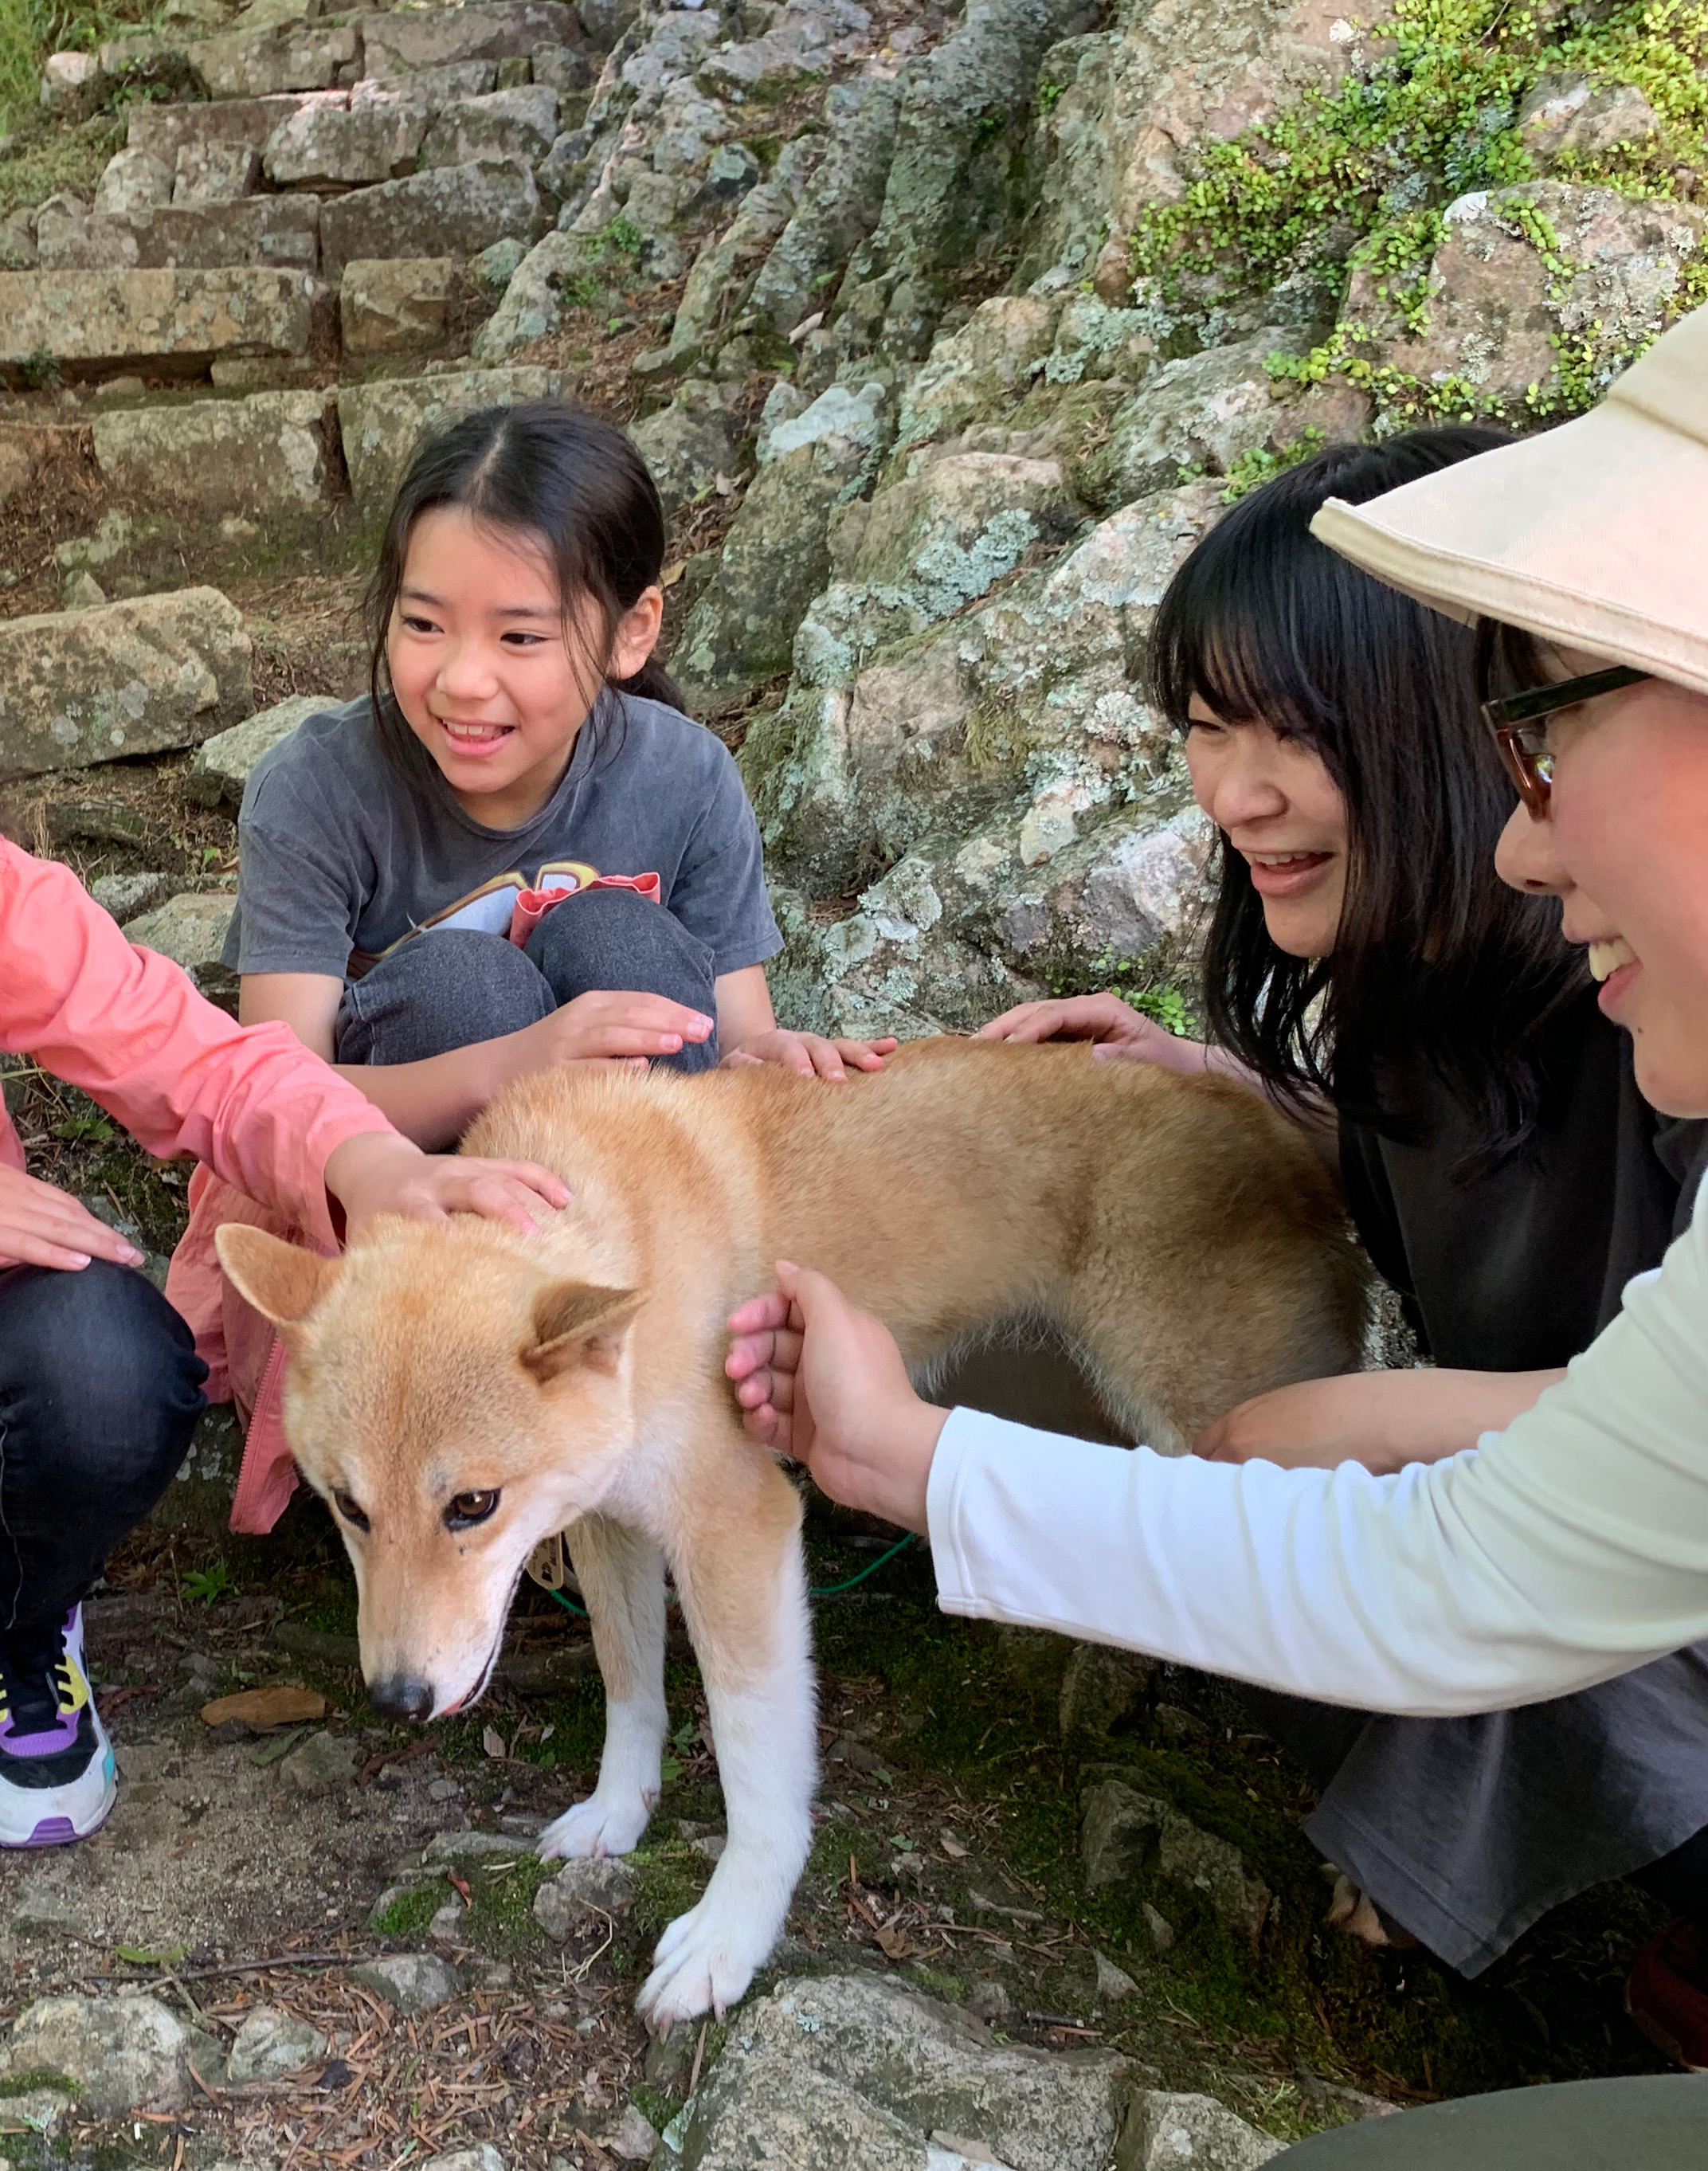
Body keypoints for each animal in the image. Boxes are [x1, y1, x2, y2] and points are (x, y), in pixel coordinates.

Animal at [217, 1042, 1362, 2023]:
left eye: (471, 1506)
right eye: (348, 1506)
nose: (397, 1700)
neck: (622, 1231)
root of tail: (1273, 1124)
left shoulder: (737, 1524)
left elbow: (755, 1762)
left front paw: (731, 1933)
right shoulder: (614, 1526)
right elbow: (632, 1691)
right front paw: (617, 1814)